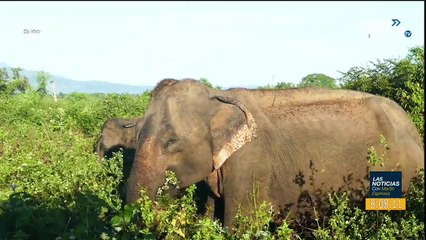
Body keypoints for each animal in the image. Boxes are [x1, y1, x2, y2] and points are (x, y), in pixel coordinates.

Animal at [125, 79, 422, 227]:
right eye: (135, 133)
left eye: (172, 141)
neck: (218, 96)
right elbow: (211, 215)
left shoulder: (250, 165)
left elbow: (240, 224)